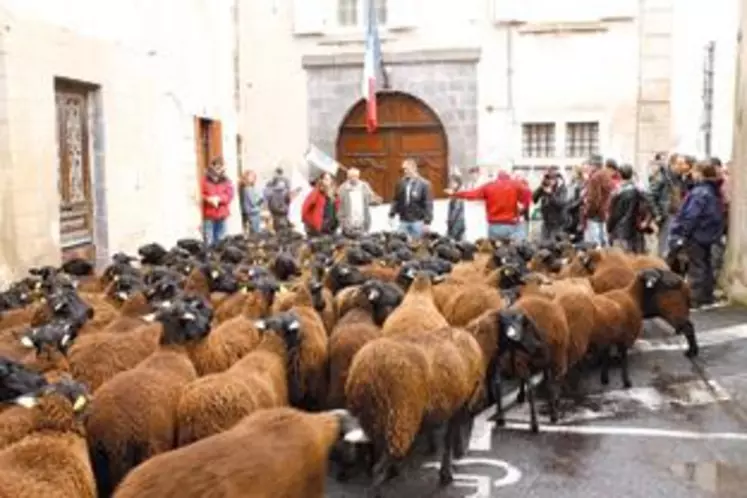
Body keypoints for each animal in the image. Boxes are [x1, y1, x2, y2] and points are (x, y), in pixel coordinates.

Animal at [85, 298, 213, 496]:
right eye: (191, 314)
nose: (208, 327)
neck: (171, 349)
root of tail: (112, 432)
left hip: (98, 462)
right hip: (148, 448)